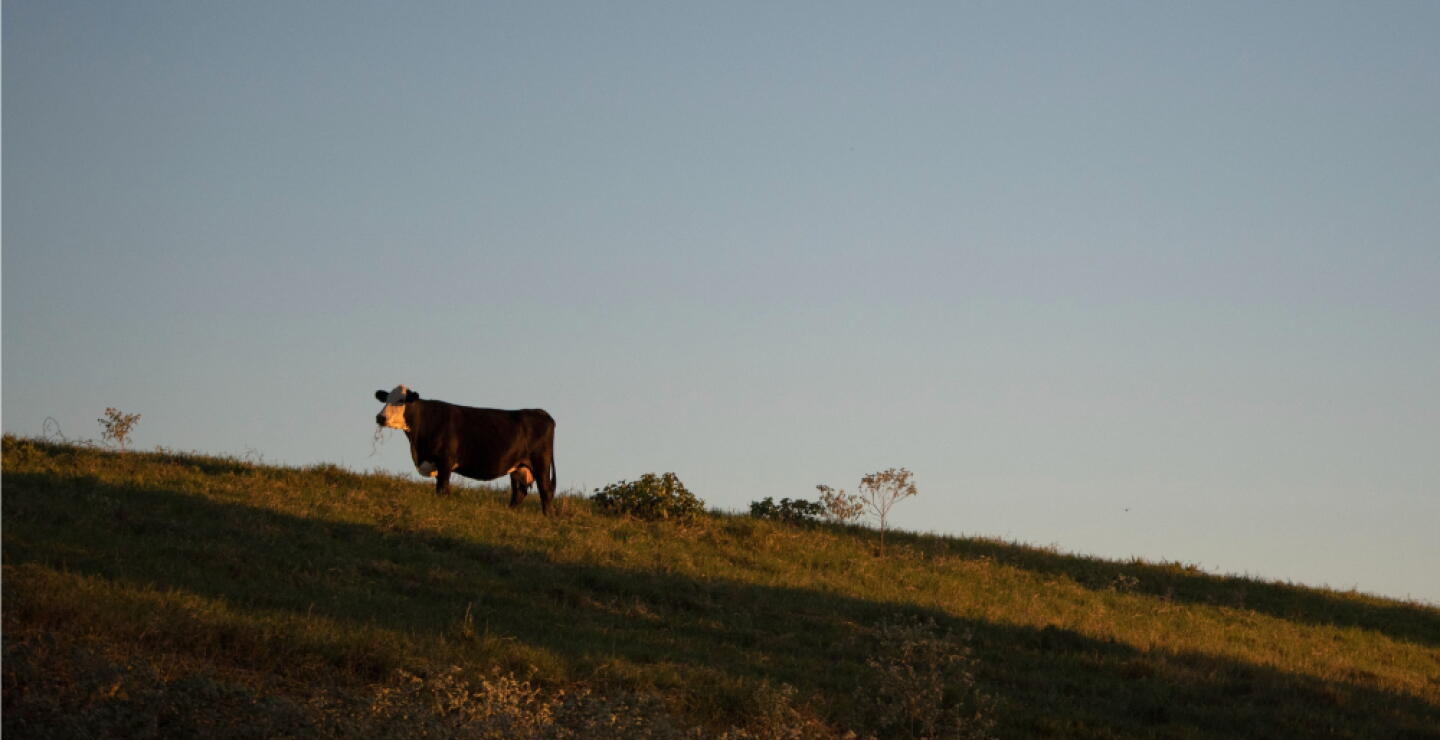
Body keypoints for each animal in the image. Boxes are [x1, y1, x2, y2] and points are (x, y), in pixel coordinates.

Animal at [374, 385, 557, 514]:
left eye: (401, 400)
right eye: (386, 399)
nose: (380, 417)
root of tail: (541, 412)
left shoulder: (445, 461)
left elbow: (442, 489)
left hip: (541, 463)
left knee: (545, 491)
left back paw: (547, 517)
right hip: (519, 467)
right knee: (519, 492)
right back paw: (509, 512)